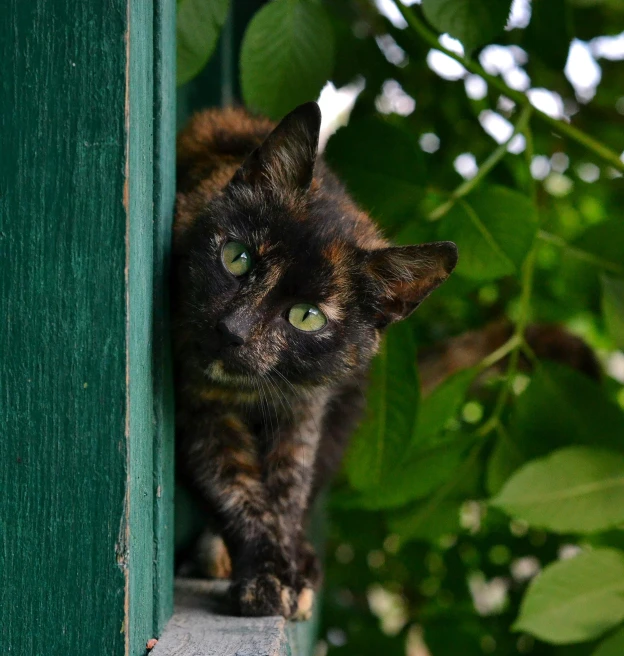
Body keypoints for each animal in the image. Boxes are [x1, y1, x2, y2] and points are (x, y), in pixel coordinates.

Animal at [171, 102, 458, 620]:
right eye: (236, 257)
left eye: (307, 316)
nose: (232, 331)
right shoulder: (202, 405)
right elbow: (235, 488)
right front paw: (265, 577)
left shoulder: (305, 407)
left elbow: (289, 486)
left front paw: (288, 569)